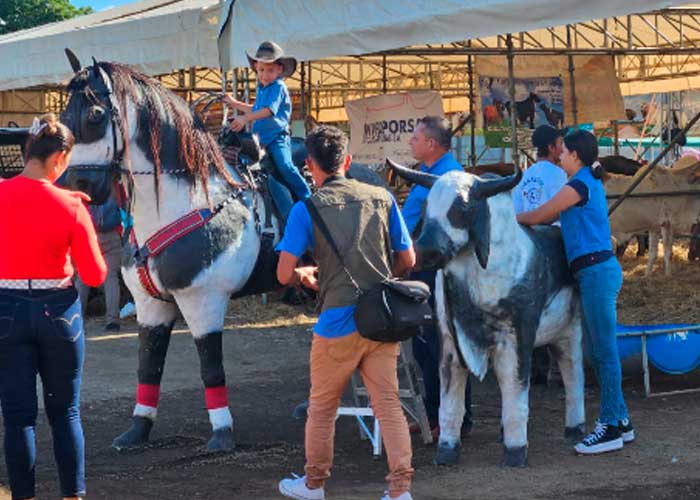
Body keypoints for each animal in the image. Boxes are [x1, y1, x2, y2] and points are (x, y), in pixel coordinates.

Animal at [58, 53, 282, 450]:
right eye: (63, 113)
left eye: (96, 114)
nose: (77, 184)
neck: (192, 201)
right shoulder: (151, 304)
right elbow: (149, 366)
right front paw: (136, 431)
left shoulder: (204, 300)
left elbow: (211, 368)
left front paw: (222, 435)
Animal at [392, 160, 588, 468]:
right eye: (426, 206)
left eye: (462, 207)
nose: (425, 251)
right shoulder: (451, 342)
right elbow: (451, 403)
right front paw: (446, 452)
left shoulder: (516, 337)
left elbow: (515, 395)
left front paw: (515, 453)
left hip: (570, 332)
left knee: (573, 374)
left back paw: (575, 429)